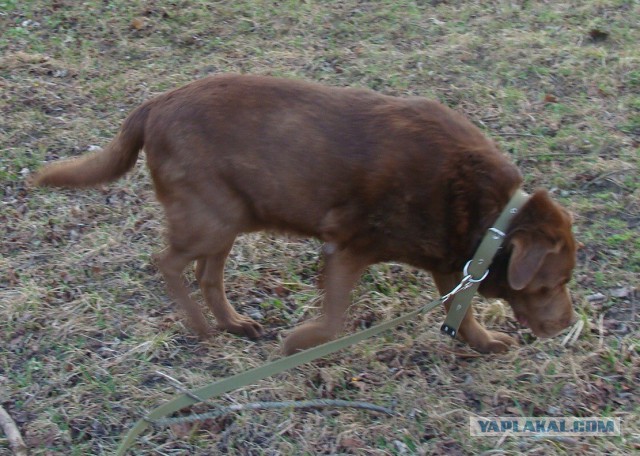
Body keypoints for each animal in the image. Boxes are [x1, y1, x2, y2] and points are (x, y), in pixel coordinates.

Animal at [32, 75, 576, 354]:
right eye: (552, 284)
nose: (568, 324)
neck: (492, 220)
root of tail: (152, 106)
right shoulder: (346, 246)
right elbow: (333, 321)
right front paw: (299, 343)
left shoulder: (450, 262)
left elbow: (460, 314)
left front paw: (484, 341)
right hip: (209, 218)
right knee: (166, 264)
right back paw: (204, 329)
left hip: (232, 218)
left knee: (208, 275)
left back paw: (234, 325)